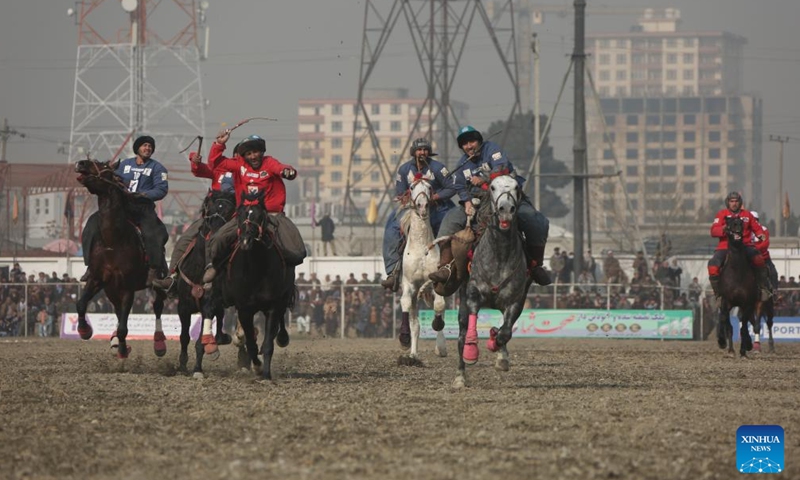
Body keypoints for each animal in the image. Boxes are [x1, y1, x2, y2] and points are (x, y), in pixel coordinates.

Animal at [73, 159, 167, 358]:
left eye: (104, 166)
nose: (80, 163)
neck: (113, 241)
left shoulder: (127, 288)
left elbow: (124, 325)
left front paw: (123, 349)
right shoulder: (97, 279)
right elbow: (81, 304)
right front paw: (85, 330)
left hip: (159, 282)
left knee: (157, 307)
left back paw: (159, 343)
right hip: (111, 289)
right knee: (117, 310)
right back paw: (114, 339)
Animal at [173, 189, 236, 376]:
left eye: (231, 211)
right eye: (211, 206)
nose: (216, 228)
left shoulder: (209, 304)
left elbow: (200, 340)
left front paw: (197, 369)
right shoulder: (183, 307)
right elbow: (184, 337)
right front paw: (183, 366)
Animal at [203, 191, 296, 378]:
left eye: (260, 216)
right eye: (239, 215)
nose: (246, 240)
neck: (256, 270)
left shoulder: (272, 306)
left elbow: (267, 344)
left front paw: (265, 372)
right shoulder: (243, 307)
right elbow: (250, 341)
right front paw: (256, 365)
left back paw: (282, 338)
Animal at [454, 173, 536, 390]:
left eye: (516, 187)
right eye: (492, 187)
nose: (506, 209)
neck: (500, 254)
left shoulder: (516, 300)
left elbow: (505, 332)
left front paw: (496, 347)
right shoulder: (473, 292)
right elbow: (472, 321)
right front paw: (471, 352)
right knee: (461, 334)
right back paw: (460, 376)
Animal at [720, 217, 764, 356]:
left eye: (741, 222)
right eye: (729, 222)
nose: (737, 226)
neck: (737, 273)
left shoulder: (747, 303)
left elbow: (744, 327)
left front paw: (744, 349)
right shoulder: (726, 302)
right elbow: (729, 326)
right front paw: (731, 350)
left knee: (752, 323)